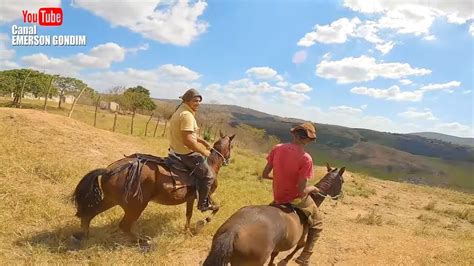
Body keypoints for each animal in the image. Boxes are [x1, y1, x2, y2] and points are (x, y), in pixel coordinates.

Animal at [71, 133, 234, 247]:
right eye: (231, 147)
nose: (228, 160)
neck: (212, 164)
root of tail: (108, 171)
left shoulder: (190, 198)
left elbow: (189, 215)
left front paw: (187, 230)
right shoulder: (205, 195)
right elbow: (215, 208)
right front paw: (201, 223)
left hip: (110, 200)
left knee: (89, 214)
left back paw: (83, 236)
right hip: (136, 206)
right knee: (124, 225)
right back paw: (142, 242)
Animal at [204, 164, 344, 266]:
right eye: (342, 181)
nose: (340, 196)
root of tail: (234, 231)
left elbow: (274, 254)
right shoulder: (306, 230)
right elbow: (300, 245)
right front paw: (286, 260)